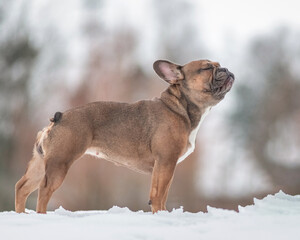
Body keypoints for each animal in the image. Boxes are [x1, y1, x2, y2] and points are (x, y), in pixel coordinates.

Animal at [14, 59, 234, 213]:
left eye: (218, 65)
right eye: (207, 68)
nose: (227, 69)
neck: (180, 106)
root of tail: (58, 117)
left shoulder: (164, 165)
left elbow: (160, 194)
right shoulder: (166, 161)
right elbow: (160, 194)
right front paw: (161, 214)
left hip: (41, 164)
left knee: (22, 187)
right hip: (60, 163)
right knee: (43, 192)